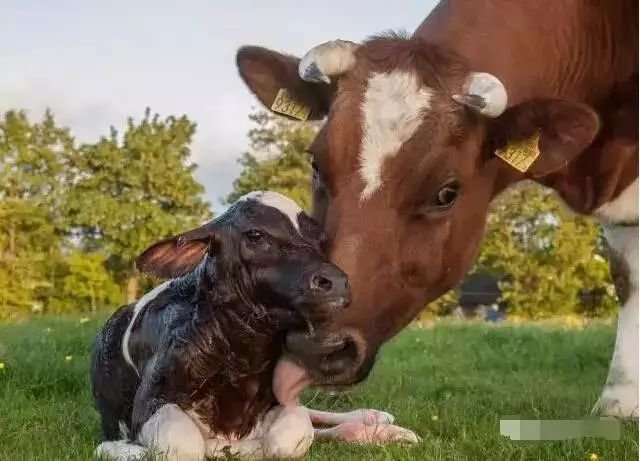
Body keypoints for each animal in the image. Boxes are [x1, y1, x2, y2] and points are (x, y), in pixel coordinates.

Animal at [91, 191, 418, 461]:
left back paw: (376, 421)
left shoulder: (280, 401)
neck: (240, 358)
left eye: (320, 239)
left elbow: (292, 436)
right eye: (255, 235)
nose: (336, 282)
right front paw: (123, 449)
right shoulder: (151, 399)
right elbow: (183, 446)